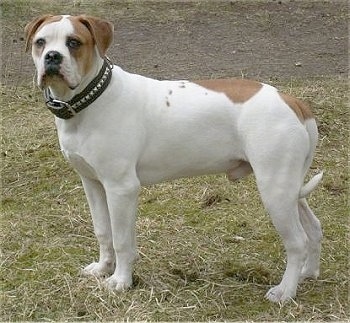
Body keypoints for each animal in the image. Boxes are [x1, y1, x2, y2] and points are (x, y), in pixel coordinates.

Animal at [25, 14, 322, 304]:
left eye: (73, 42)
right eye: (40, 42)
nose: (52, 57)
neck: (92, 99)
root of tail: (291, 100)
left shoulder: (121, 189)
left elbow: (121, 240)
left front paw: (121, 281)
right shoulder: (93, 184)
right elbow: (103, 232)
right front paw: (102, 269)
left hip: (274, 190)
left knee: (297, 241)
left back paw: (285, 292)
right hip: (288, 188)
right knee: (313, 227)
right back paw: (308, 272)